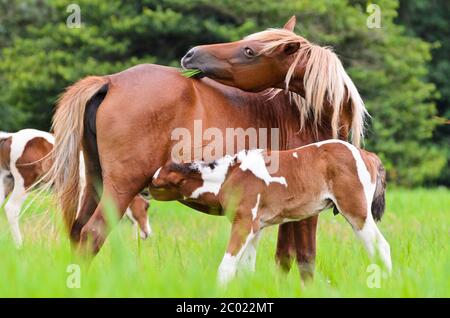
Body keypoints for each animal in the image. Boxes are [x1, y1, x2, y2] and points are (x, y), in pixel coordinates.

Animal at [0, 129, 152, 246]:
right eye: (146, 207)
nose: (147, 234)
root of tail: (10, 137)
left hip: (7, 182)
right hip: (24, 184)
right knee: (12, 209)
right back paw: (20, 246)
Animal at [153, 139, 392, 284]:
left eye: (156, 183)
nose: (145, 189)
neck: (229, 176)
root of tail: (368, 155)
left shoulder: (244, 224)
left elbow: (226, 268)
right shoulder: (255, 228)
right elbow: (246, 270)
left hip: (356, 212)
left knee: (381, 246)